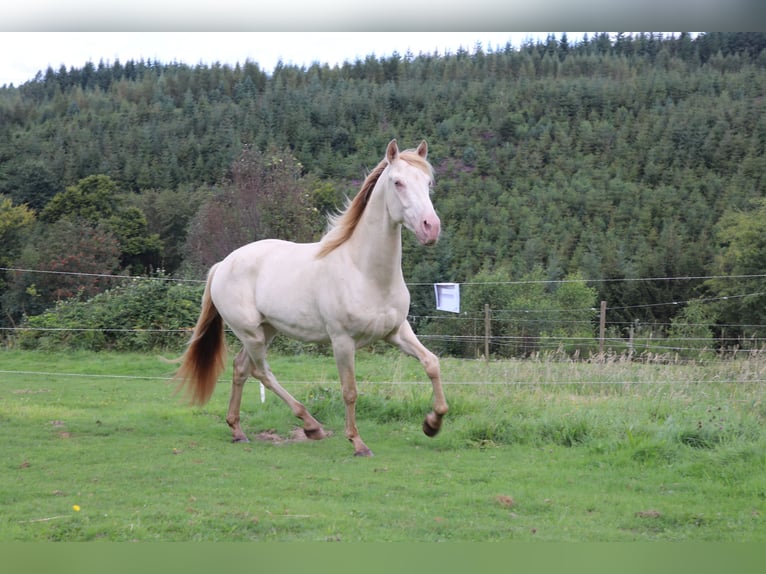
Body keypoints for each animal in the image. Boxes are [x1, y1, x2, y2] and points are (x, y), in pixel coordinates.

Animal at [176, 140, 448, 460]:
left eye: (428, 183)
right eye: (398, 182)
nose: (431, 227)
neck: (364, 271)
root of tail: (223, 264)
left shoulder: (396, 332)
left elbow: (432, 363)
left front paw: (432, 424)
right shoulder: (342, 341)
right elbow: (350, 390)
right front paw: (358, 443)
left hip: (266, 330)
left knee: (241, 368)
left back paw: (238, 431)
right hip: (251, 333)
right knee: (260, 371)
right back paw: (310, 425)